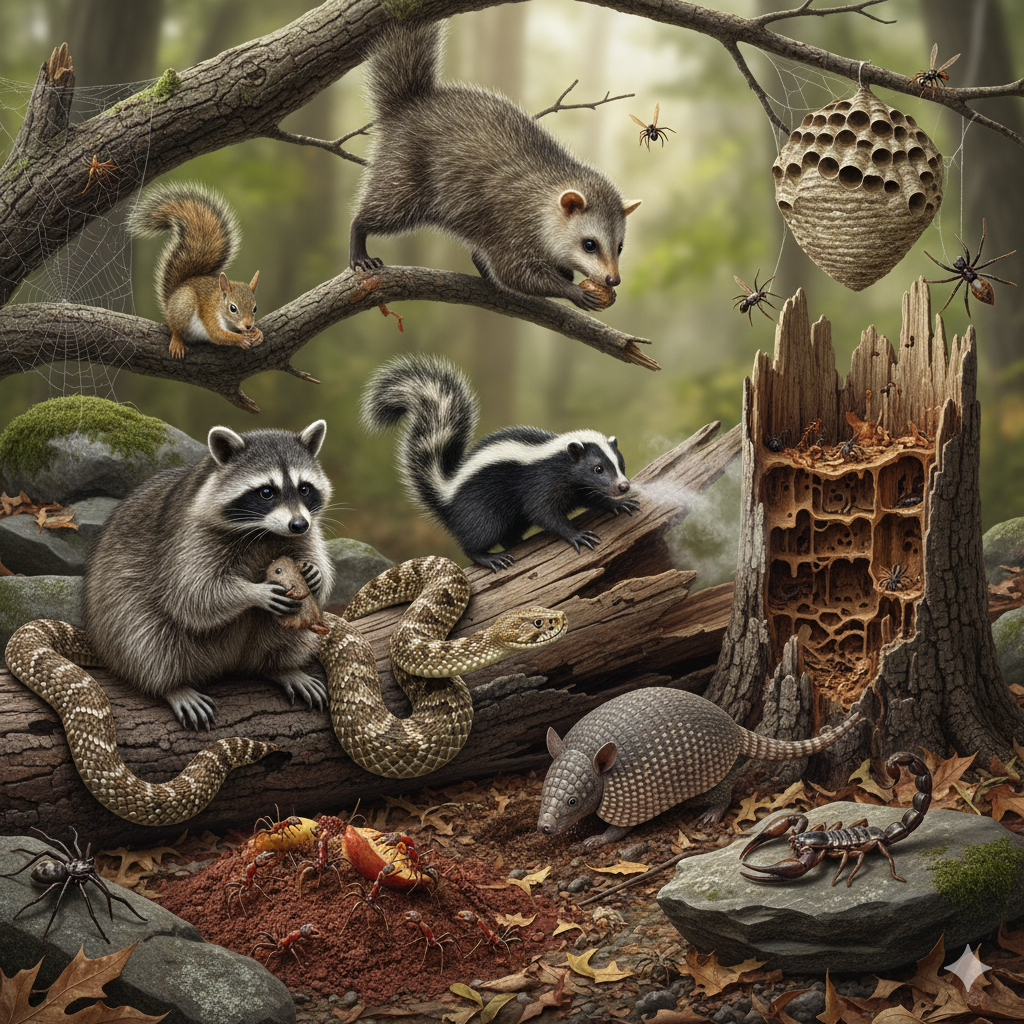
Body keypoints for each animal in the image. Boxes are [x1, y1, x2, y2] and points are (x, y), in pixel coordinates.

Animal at [82, 421, 335, 730]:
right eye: (266, 492)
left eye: (304, 488)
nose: (298, 524)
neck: (263, 531)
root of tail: (228, 664)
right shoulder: (187, 536)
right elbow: (194, 594)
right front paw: (254, 592)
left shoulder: (306, 533)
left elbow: (317, 565)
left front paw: (315, 574)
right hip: (118, 609)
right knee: (146, 637)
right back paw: (172, 686)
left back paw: (279, 667)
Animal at [349, 20, 641, 311]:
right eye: (589, 244)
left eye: (620, 246)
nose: (613, 280)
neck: (546, 195)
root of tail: (410, 102)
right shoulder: (512, 225)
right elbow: (514, 273)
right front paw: (571, 290)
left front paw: (567, 274)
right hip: (404, 170)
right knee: (383, 208)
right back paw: (359, 233)